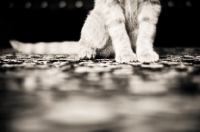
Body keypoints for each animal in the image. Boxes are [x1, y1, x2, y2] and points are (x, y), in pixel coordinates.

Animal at [10, 0, 161, 63]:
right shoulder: (110, 4)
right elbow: (120, 32)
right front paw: (125, 54)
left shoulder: (151, 4)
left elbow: (146, 31)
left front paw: (145, 53)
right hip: (96, 21)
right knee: (83, 42)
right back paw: (86, 52)